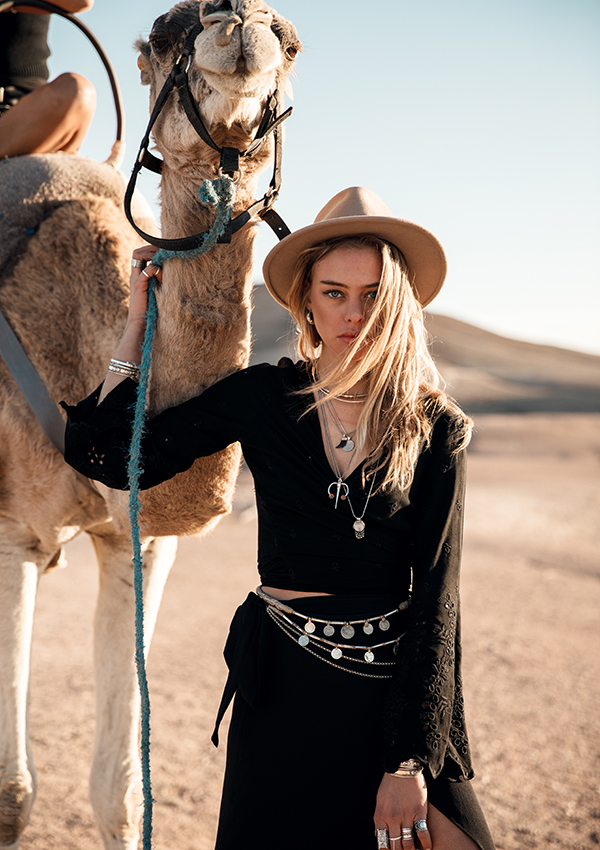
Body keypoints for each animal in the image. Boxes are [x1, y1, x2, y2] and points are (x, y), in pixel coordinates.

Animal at [0, 3, 300, 844]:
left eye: (292, 43)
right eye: (161, 35)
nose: (241, 22)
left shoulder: (138, 544)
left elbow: (119, 791)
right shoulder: (10, 535)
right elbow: (13, 793)